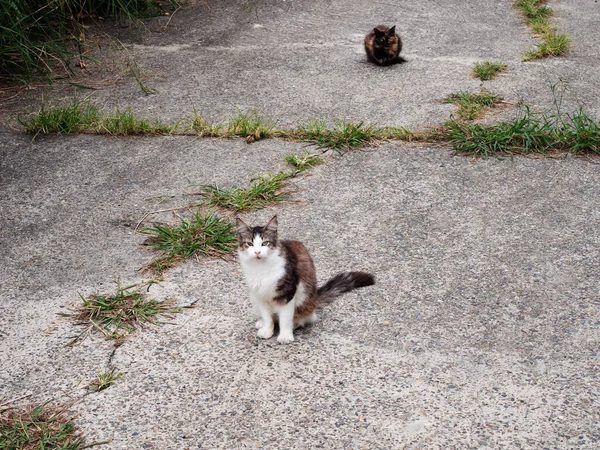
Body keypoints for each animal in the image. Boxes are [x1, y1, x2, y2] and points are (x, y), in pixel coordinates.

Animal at [236, 216, 372, 342]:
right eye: (250, 244)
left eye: (264, 243)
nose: (257, 252)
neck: (261, 269)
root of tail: (316, 298)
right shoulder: (260, 294)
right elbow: (267, 317)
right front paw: (267, 330)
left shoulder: (287, 292)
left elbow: (285, 318)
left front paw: (285, 336)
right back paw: (262, 323)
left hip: (304, 299)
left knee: (304, 318)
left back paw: (293, 324)